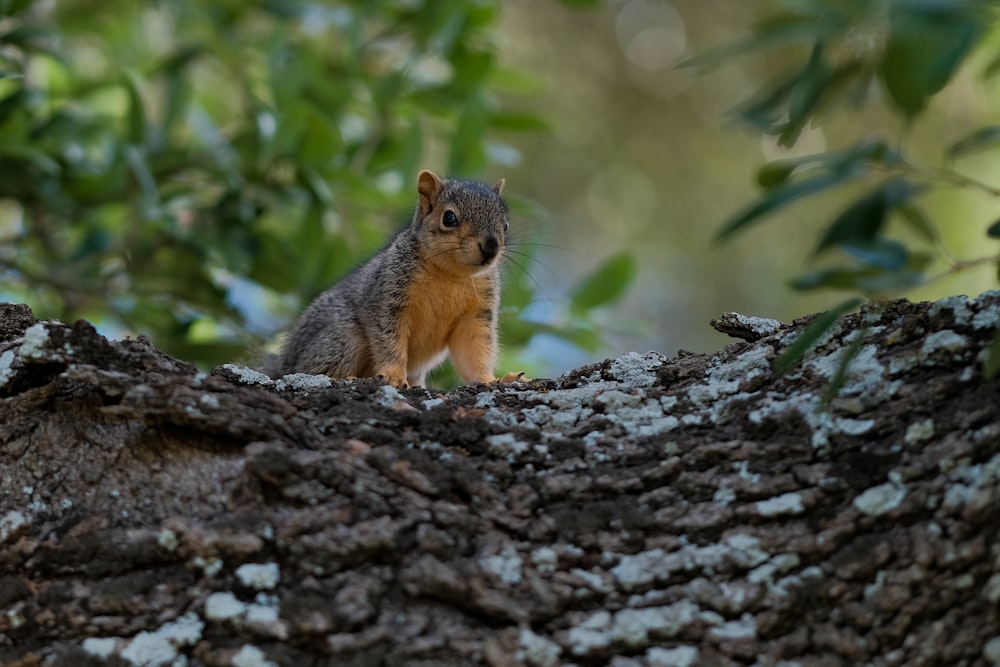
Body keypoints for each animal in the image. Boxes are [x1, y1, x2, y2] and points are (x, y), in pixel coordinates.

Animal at [264, 170, 524, 388]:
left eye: (505, 225)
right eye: (449, 218)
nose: (491, 246)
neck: (452, 275)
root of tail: (286, 359)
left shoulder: (476, 315)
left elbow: (473, 352)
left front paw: (493, 379)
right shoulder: (388, 297)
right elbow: (389, 342)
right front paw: (394, 376)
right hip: (342, 339)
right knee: (310, 369)